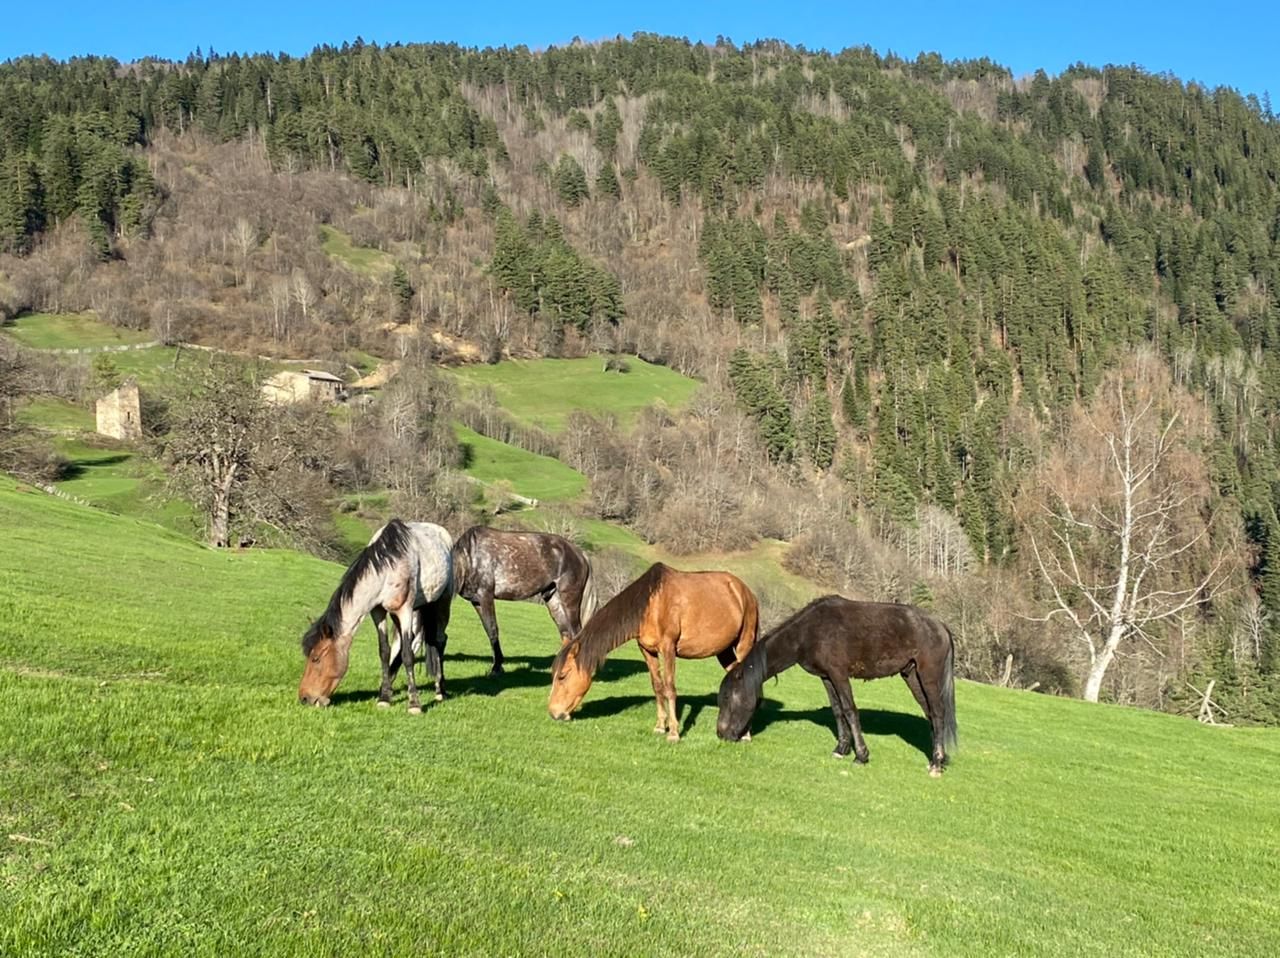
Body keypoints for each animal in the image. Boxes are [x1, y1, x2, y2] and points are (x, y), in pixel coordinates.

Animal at [299, 519, 455, 717]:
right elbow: (384, 651)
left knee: (439, 640)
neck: (389, 567)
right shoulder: (378, 612)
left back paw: (440, 691)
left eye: (316, 659)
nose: (304, 698)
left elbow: (408, 655)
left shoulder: (405, 610)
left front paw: (414, 704)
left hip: (442, 601)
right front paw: (384, 698)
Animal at [453, 525, 596, 671]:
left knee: (575, 633)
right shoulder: (477, 601)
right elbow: (488, 629)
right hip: (553, 600)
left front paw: (497, 667)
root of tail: (581, 554)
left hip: (569, 600)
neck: (469, 557)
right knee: (566, 634)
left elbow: (493, 629)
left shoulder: (486, 596)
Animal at [547, 560, 757, 742]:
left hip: (744, 644)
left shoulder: (668, 648)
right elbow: (657, 686)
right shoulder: (647, 651)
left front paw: (674, 732)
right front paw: (660, 726)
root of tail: (745, 591)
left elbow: (670, 687)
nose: (553, 712)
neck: (651, 604)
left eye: (563, 676)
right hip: (724, 651)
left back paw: (746, 734)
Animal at [716, 594, 957, 773]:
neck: (807, 632)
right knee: (930, 714)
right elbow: (838, 711)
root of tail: (941, 626)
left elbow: (850, 710)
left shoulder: (839, 674)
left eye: (728, 697)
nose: (721, 734)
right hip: (912, 676)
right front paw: (841, 749)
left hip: (928, 676)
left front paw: (861, 755)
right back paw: (939, 758)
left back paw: (936, 763)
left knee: (937, 713)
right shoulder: (827, 677)